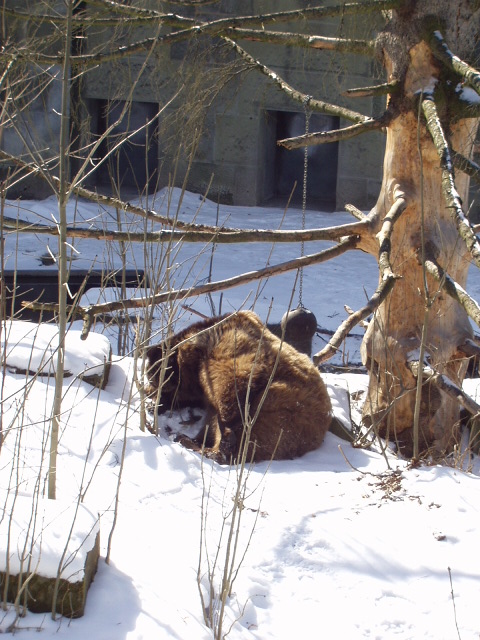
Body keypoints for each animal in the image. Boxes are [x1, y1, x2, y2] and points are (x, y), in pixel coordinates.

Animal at [146, 312, 332, 464]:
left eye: (156, 382)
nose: (152, 394)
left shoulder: (229, 352)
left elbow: (233, 384)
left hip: (281, 408)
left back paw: (194, 442)